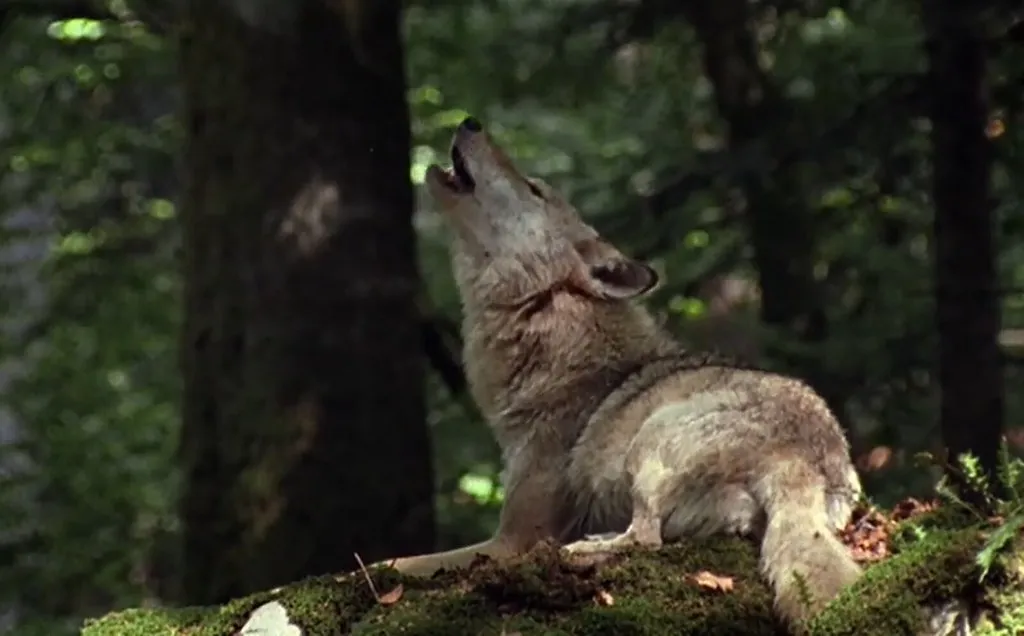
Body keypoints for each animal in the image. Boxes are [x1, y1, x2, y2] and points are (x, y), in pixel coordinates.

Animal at [379, 116, 863, 625]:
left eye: (534, 188)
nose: (470, 121)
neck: (547, 320)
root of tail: (802, 460)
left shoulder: (511, 538)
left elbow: (388, 563)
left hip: (649, 443)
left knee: (645, 538)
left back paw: (581, 549)